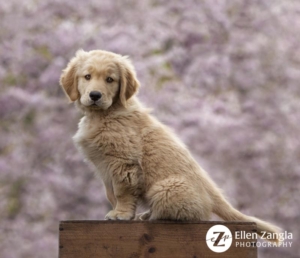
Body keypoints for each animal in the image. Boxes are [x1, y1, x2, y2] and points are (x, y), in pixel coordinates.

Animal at [59, 49, 280, 242]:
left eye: (110, 80)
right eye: (87, 77)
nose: (95, 95)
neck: (104, 115)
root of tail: (212, 193)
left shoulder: (123, 163)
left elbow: (122, 192)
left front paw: (121, 214)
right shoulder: (104, 167)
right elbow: (110, 193)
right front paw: (122, 213)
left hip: (165, 188)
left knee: (191, 215)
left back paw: (152, 216)